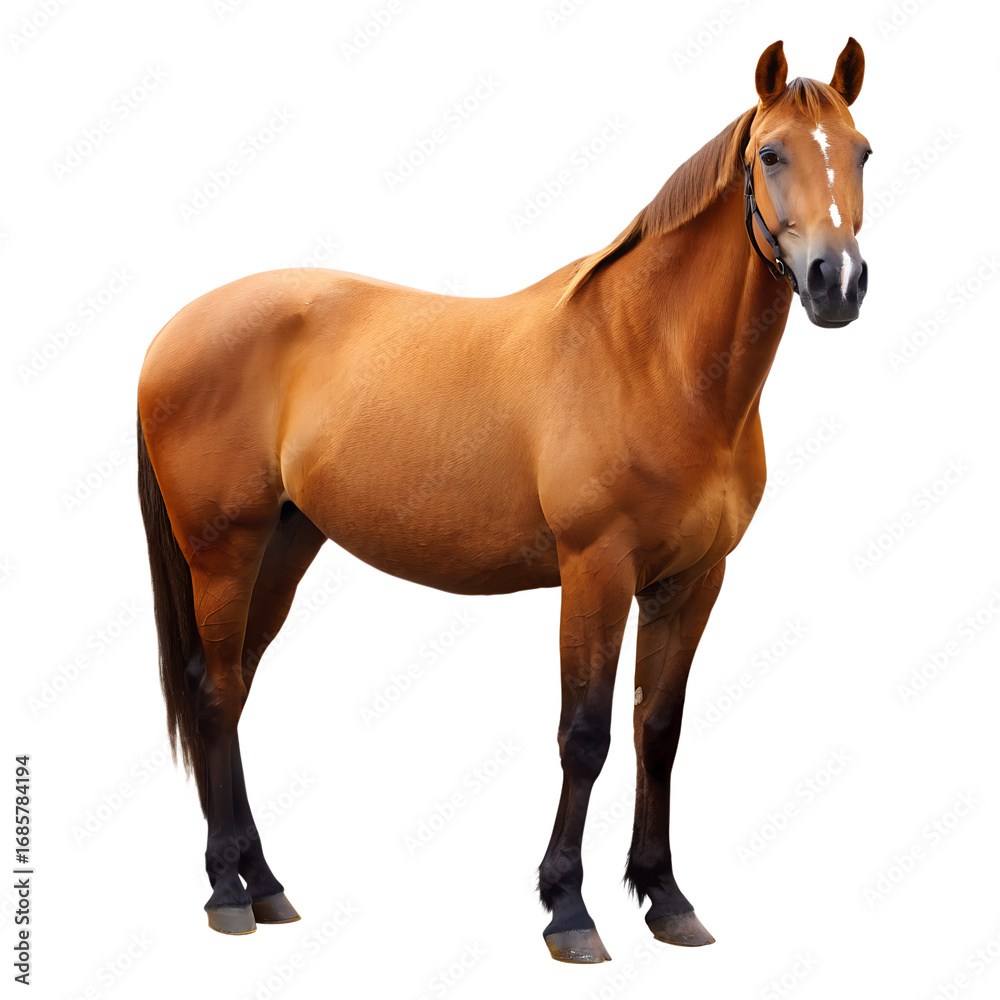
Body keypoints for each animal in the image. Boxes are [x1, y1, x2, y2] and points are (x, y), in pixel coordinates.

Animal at [137, 37, 869, 962]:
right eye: (771, 154)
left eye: (862, 152)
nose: (836, 282)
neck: (651, 358)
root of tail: (173, 331)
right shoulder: (597, 571)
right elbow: (585, 735)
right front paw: (570, 910)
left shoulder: (693, 581)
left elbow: (657, 733)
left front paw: (666, 899)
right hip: (223, 549)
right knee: (216, 692)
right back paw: (228, 891)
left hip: (285, 544)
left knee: (232, 688)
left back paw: (263, 884)